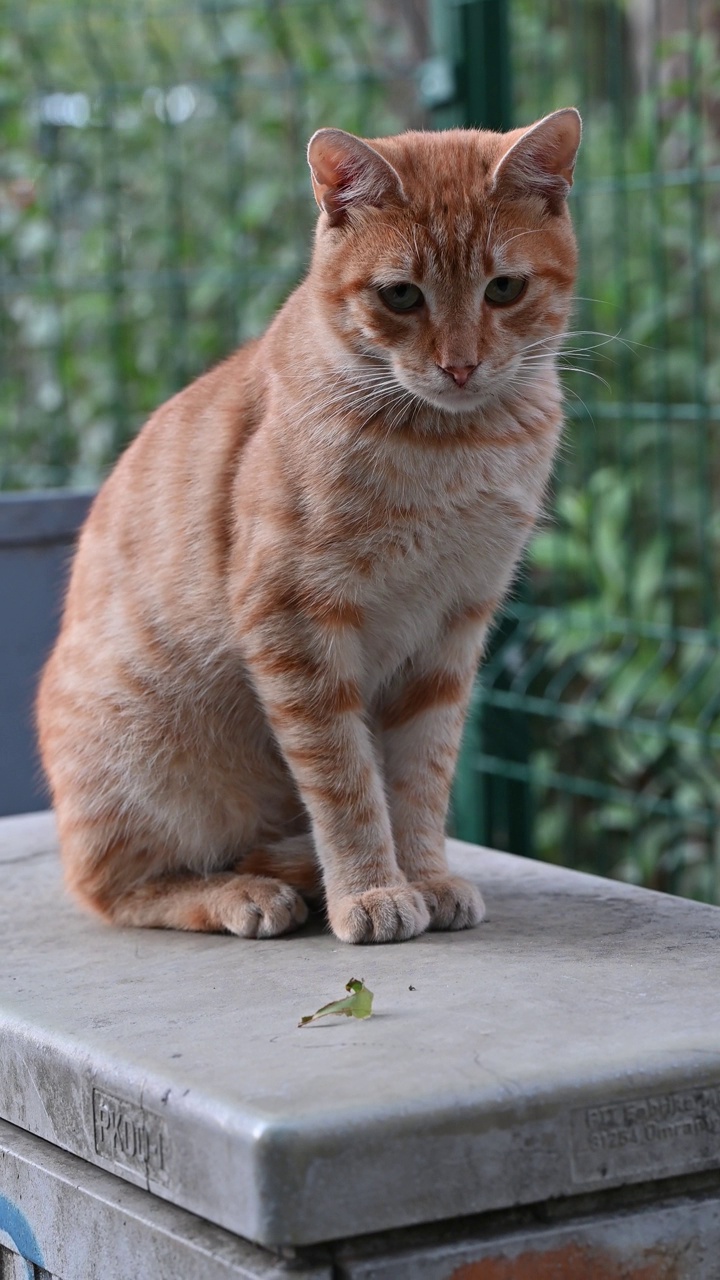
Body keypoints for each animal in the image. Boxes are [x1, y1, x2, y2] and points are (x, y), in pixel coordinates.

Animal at [36, 110, 579, 942]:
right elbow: (346, 782)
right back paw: (246, 893)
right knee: (113, 887)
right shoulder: (294, 623)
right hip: (146, 763)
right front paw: (372, 891)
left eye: (505, 288)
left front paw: (424, 876)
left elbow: (420, 777)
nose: (460, 366)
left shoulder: (452, 629)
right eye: (401, 296)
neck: (453, 450)